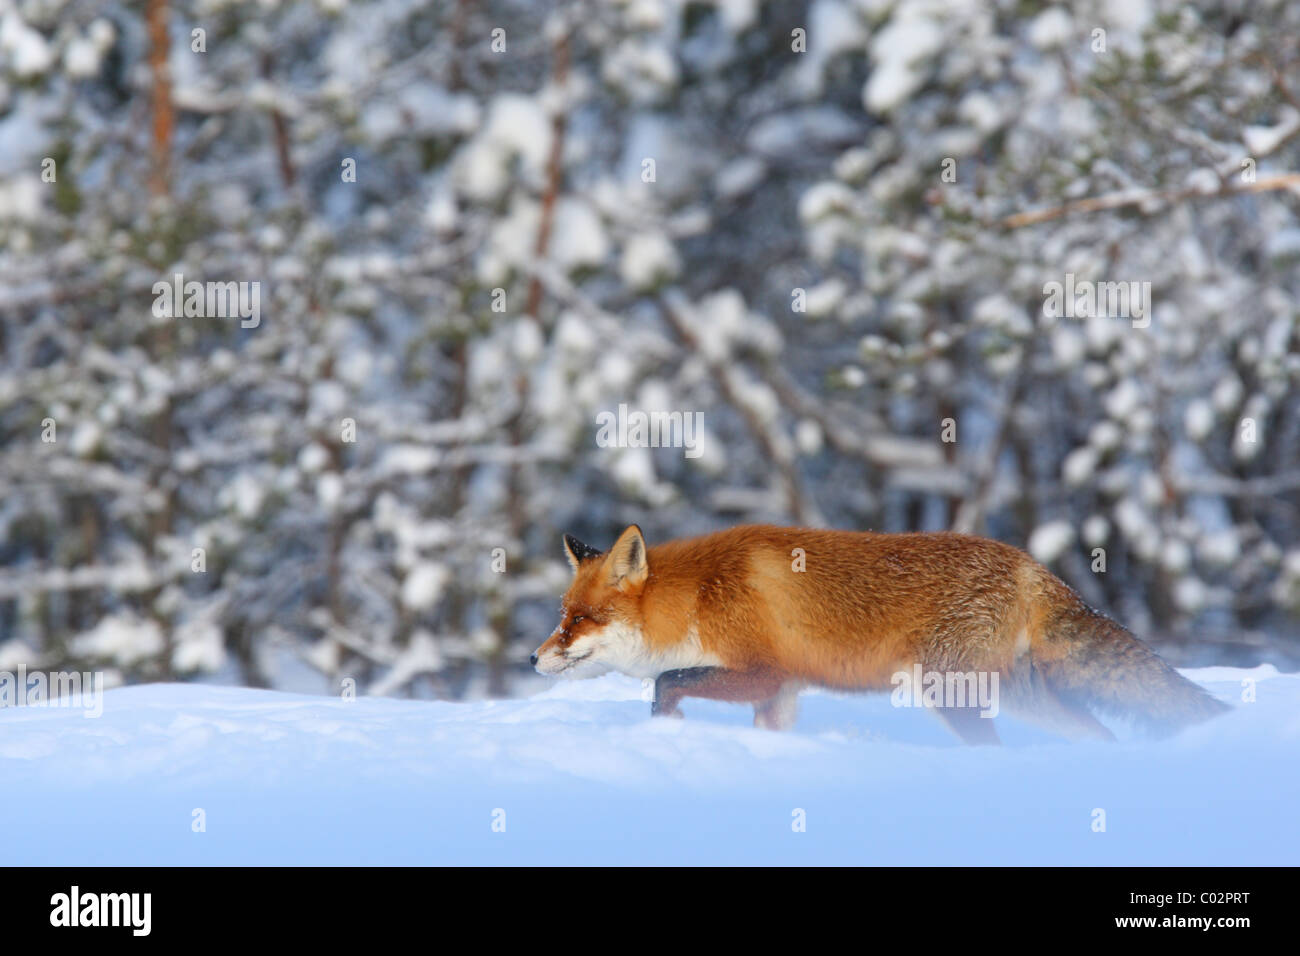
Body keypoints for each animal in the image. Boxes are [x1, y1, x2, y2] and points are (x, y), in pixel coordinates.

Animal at [530, 522, 1227, 738]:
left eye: (579, 620)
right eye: (561, 615)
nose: (533, 659)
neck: (699, 597)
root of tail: (1031, 565)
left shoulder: (766, 671)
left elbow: (665, 683)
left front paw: (666, 730)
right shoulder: (781, 694)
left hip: (952, 693)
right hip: (1021, 694)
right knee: (1098, 734)